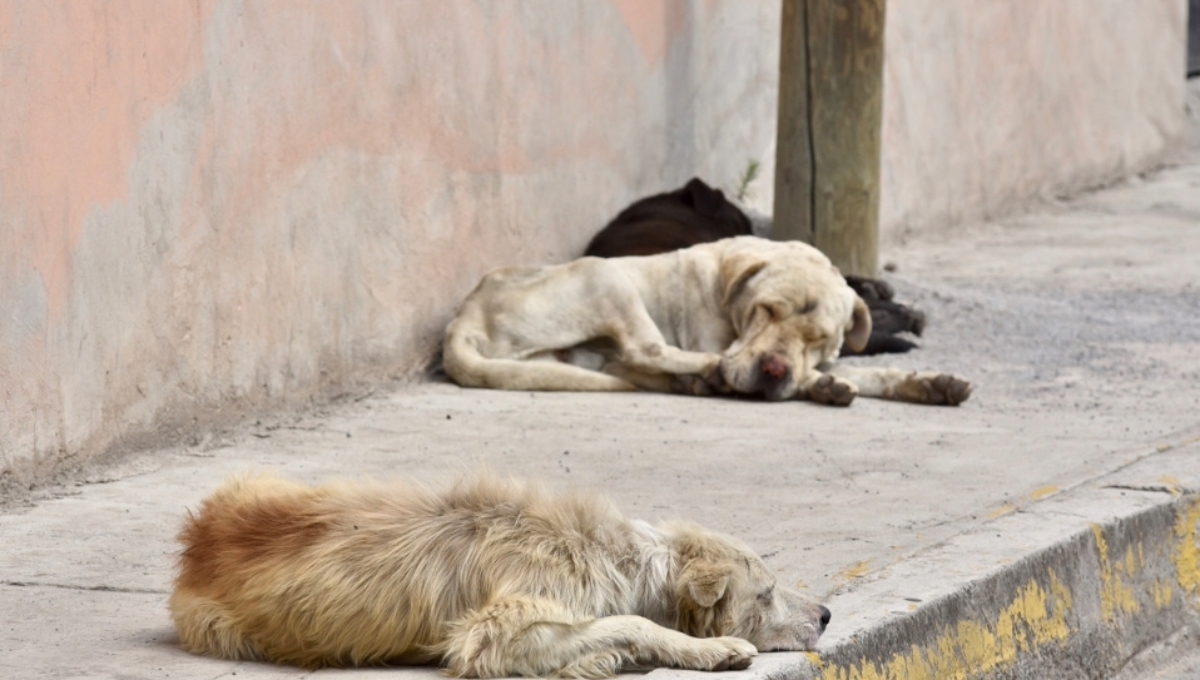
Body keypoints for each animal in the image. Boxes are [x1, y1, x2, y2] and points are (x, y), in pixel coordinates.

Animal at [169, 472, 830, 676]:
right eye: (768, 593)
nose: (827, 614)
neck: (617, 558)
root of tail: (196, 540)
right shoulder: (493, 630)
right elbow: (631, 622)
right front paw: (711, 648)